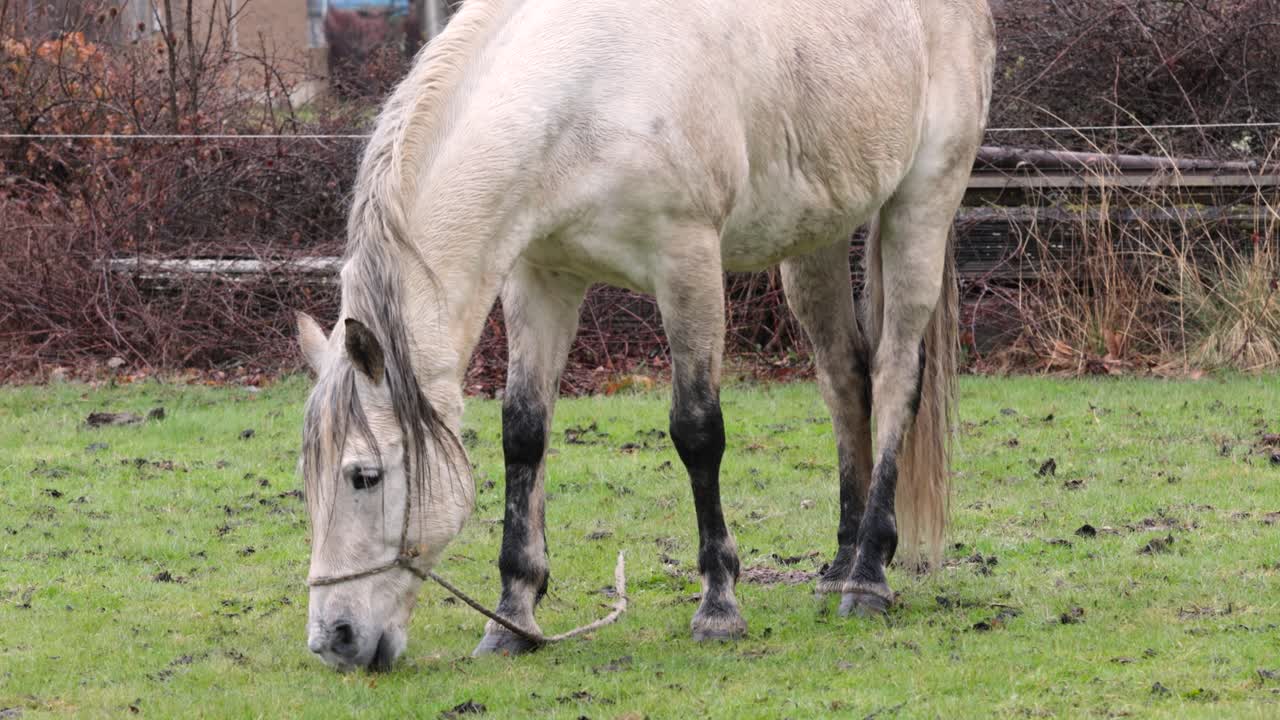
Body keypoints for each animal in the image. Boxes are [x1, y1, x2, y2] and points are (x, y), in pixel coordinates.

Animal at [296, 0, 996, 672]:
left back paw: (869, 577)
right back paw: (840, 566)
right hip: (816, 236)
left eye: (364, 476)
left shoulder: (686, 262)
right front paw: (513, 618)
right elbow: (524, 432)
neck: (583, 90)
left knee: (895, 374)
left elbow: (697, 431)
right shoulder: (541, 276)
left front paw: (719, 606)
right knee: (846, 381)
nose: (334, 640)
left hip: (921, 206)